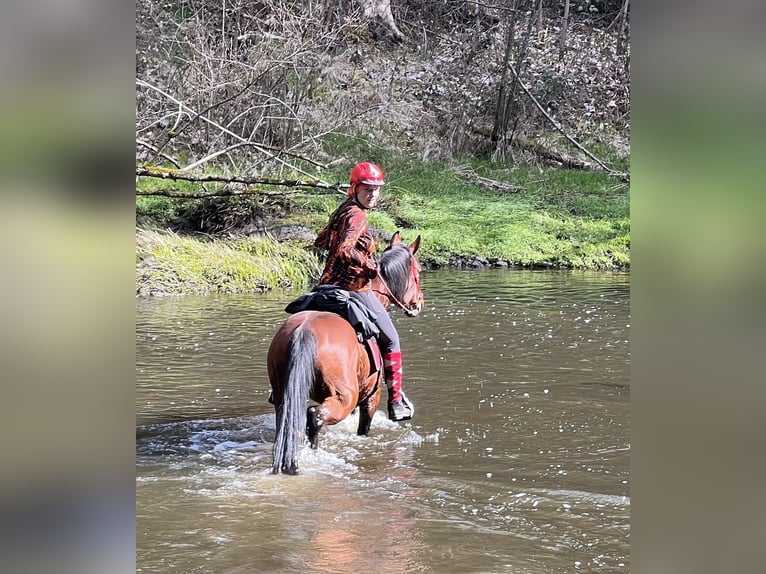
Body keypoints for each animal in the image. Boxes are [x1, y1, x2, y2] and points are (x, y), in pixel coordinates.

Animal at [267, 231, 424, 474]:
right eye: (417, 271)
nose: (419, 302)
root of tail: (304, 331)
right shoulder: (371, 397)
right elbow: (364, 429)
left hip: (284, 395)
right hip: (344, 397)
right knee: (315, 417)